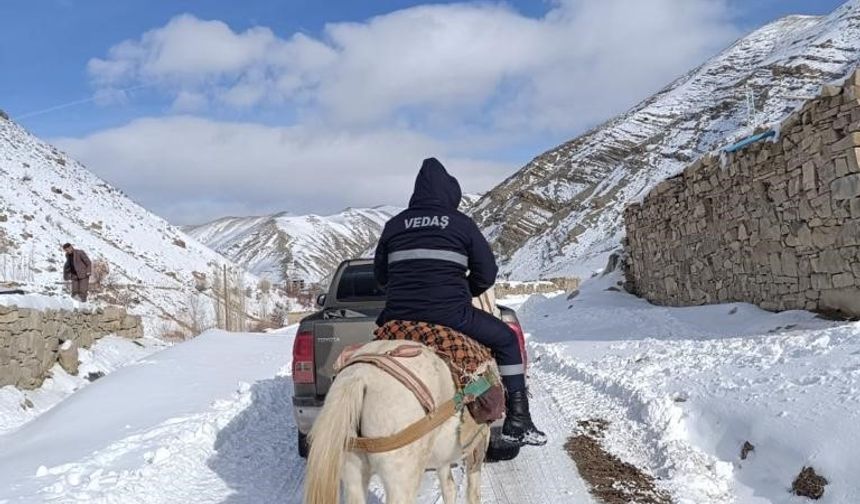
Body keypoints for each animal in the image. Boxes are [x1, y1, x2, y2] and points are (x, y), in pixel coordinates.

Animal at [304, 338, 490, 504]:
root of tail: (360, 376)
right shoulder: (478, 445)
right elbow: (473, 491)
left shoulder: (443, 457)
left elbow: (449, 488)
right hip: (401, 478)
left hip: (353, 472)